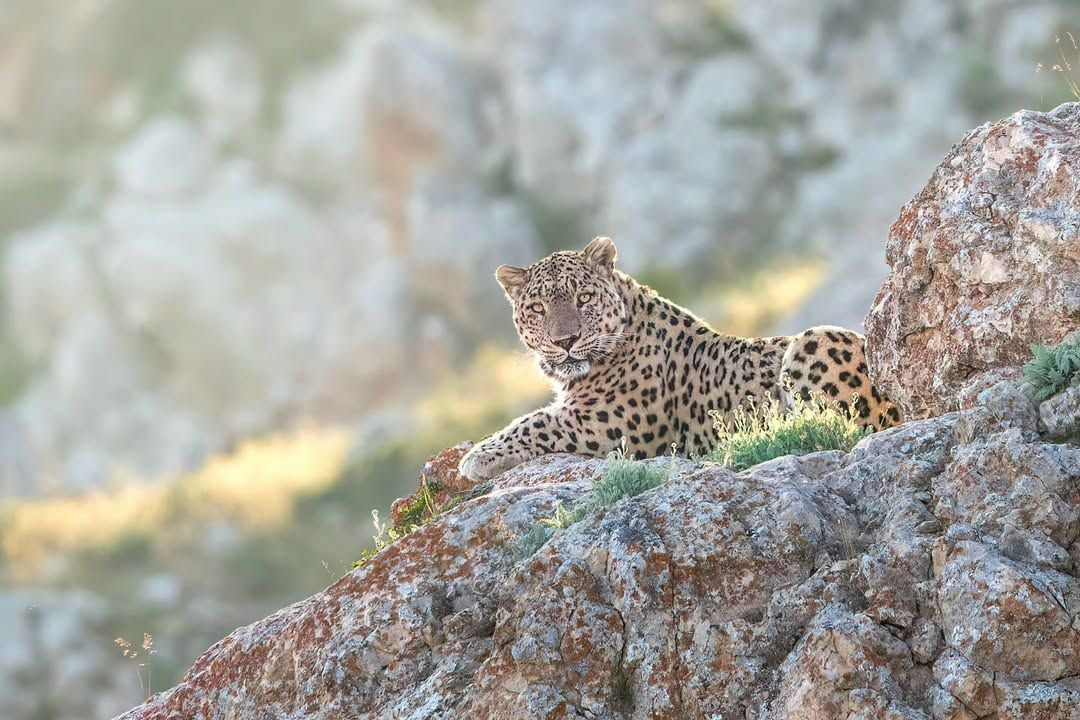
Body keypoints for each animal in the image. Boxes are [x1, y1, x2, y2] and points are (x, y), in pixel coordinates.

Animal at [455, 237, 902, 483]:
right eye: (538, 308)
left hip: (816, 340)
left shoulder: (612, 422)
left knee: (830, 429)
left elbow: (536, 420)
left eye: (583, 297)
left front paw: (477, 457)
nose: (566, 341)